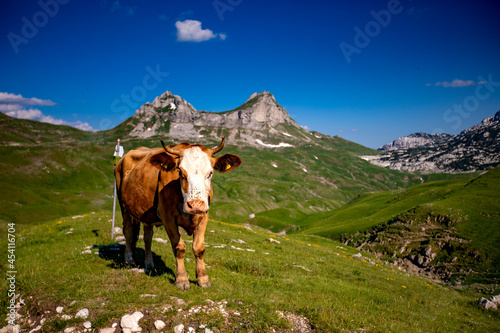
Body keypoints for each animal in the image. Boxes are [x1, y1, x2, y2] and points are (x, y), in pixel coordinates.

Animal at [115, 137, 240, 288]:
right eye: (180, 172)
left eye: (210, 173)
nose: (195, 205)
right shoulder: (167, 217)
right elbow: (179, 247)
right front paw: (181, 279)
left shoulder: (204, 215)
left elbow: (199, 248)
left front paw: (203, 278)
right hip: (123, 206)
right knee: (127, 231)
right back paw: (129, 260)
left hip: (147, 214)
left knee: (147, 236)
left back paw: (149, 264)